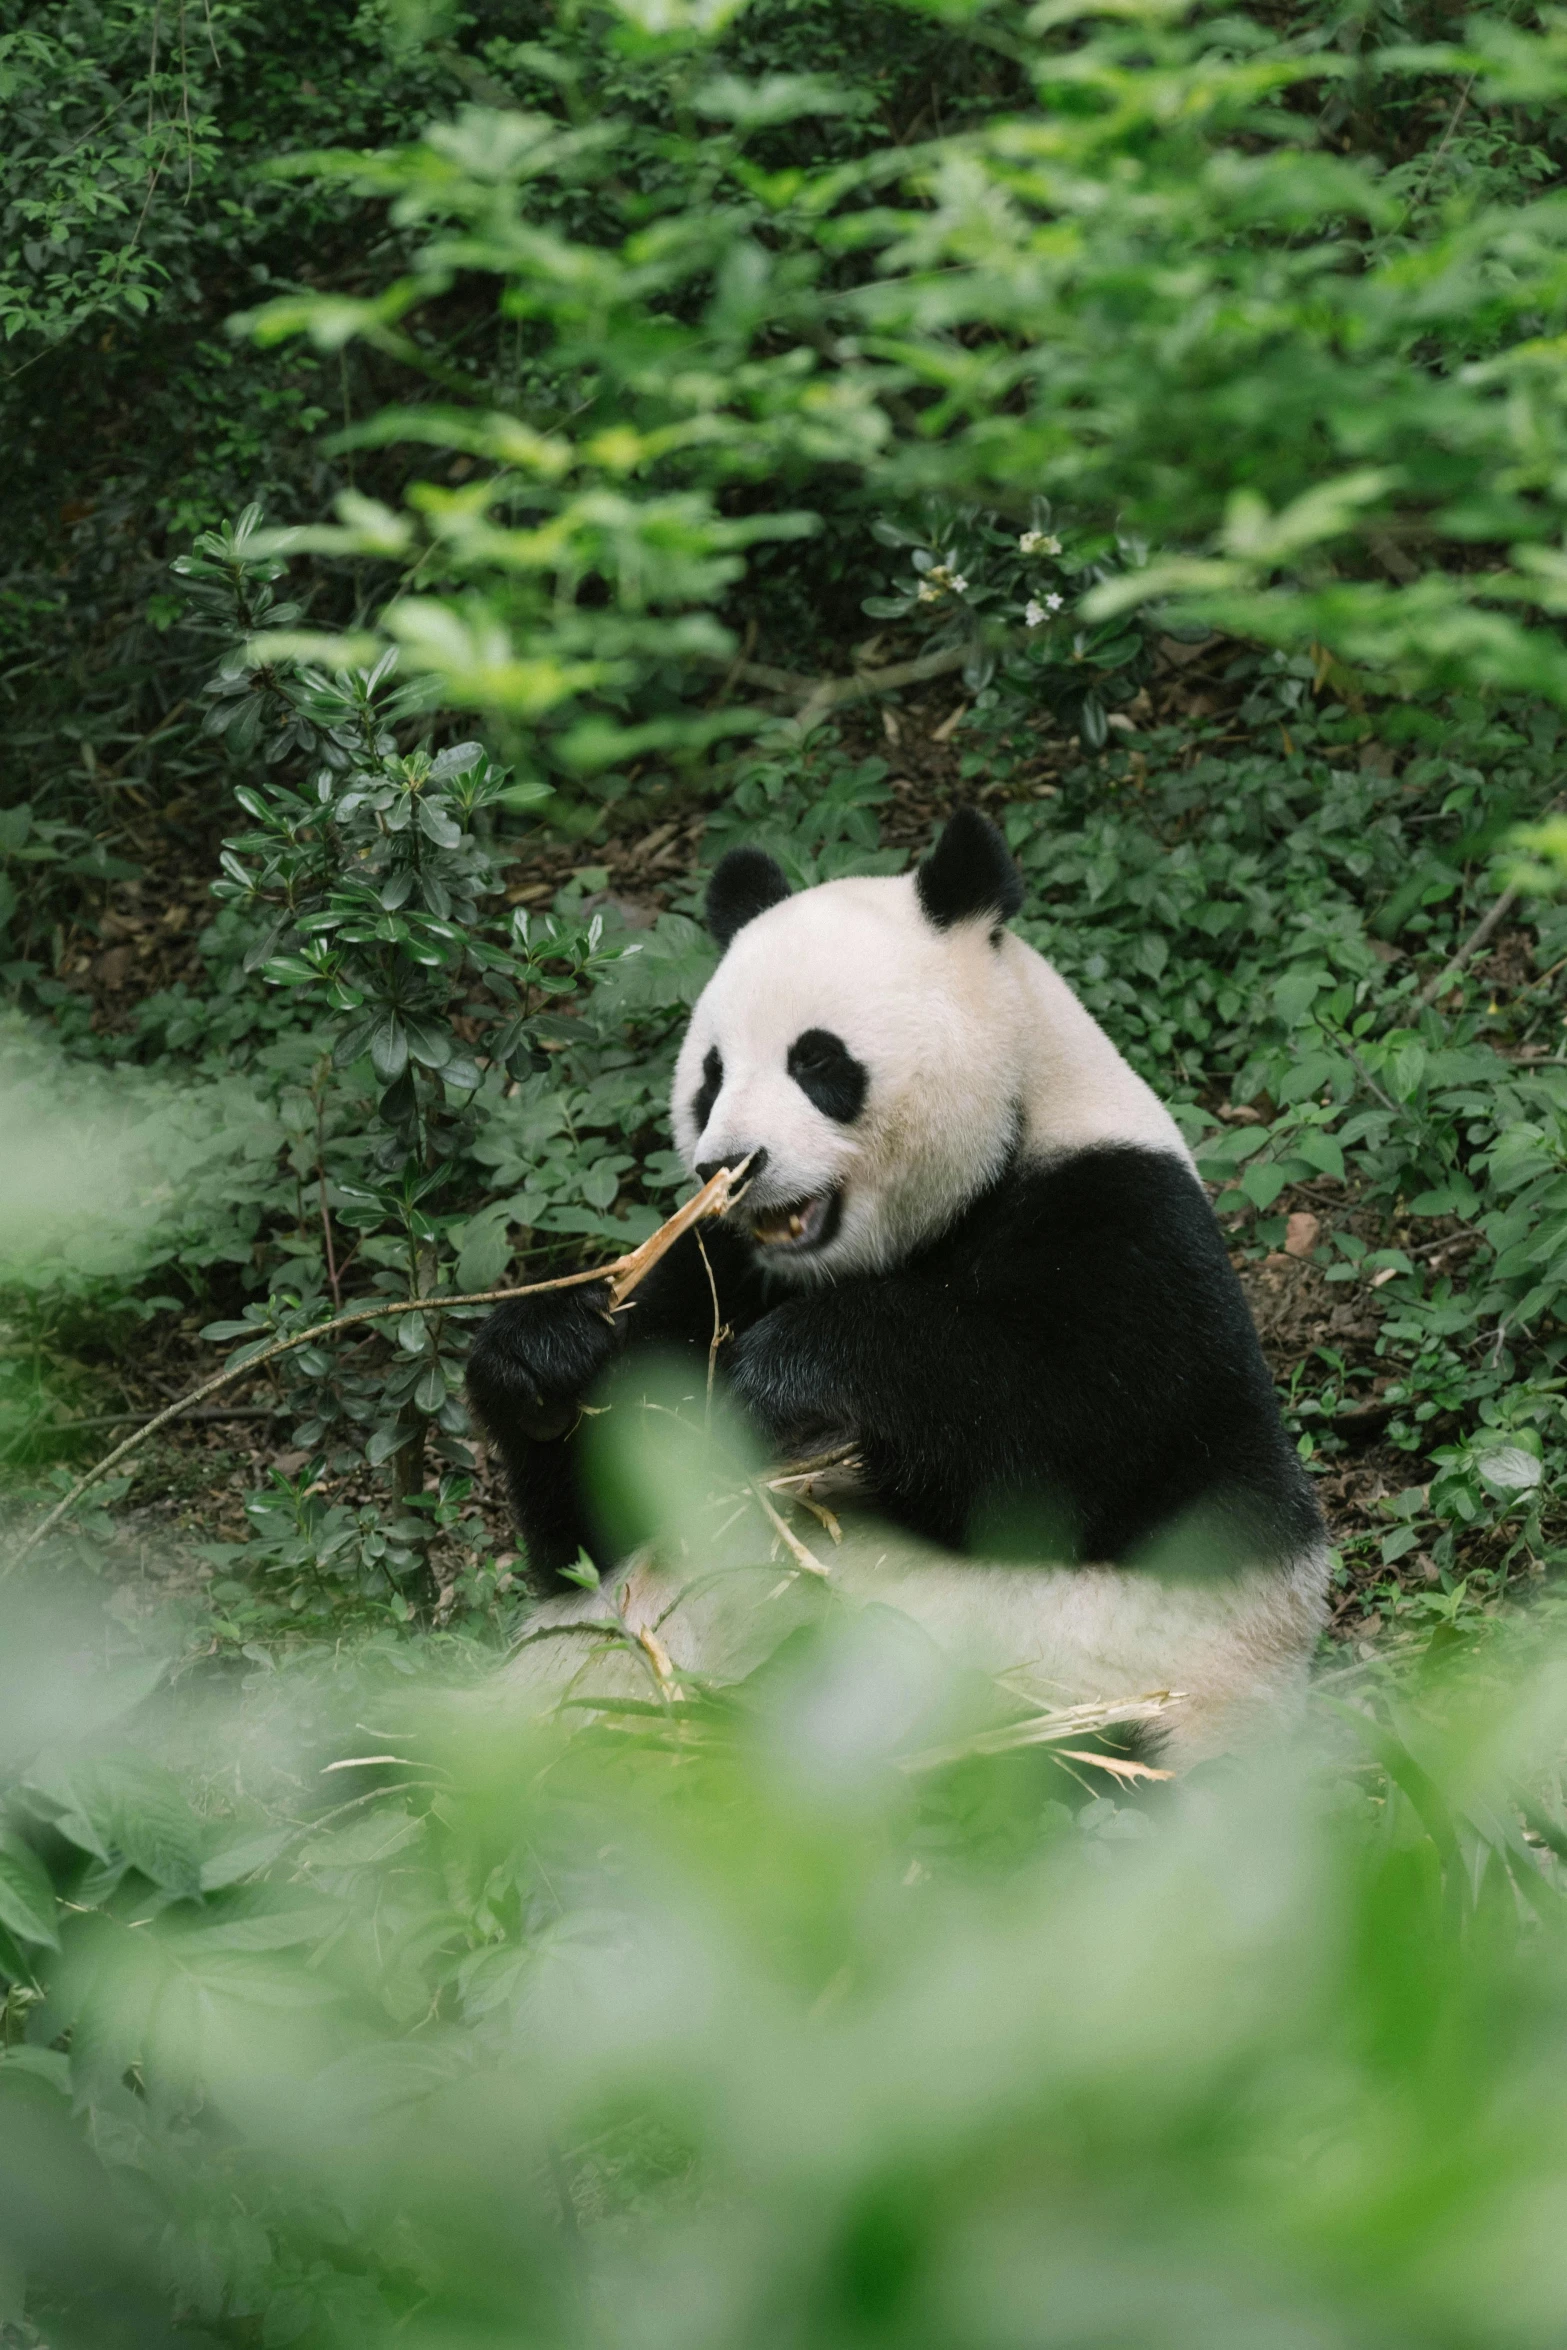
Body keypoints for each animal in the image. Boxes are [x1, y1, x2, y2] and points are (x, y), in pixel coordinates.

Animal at [472, 813, 1334, 1767]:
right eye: (711, 1074)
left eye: (817, 1061)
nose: (728, 1163)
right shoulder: (719, 1265)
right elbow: (597, 1522)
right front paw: (548, 1354)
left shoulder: (1127, 1223)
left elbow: (1093, 1434)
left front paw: (790, 1369)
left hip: (1109, 1708)